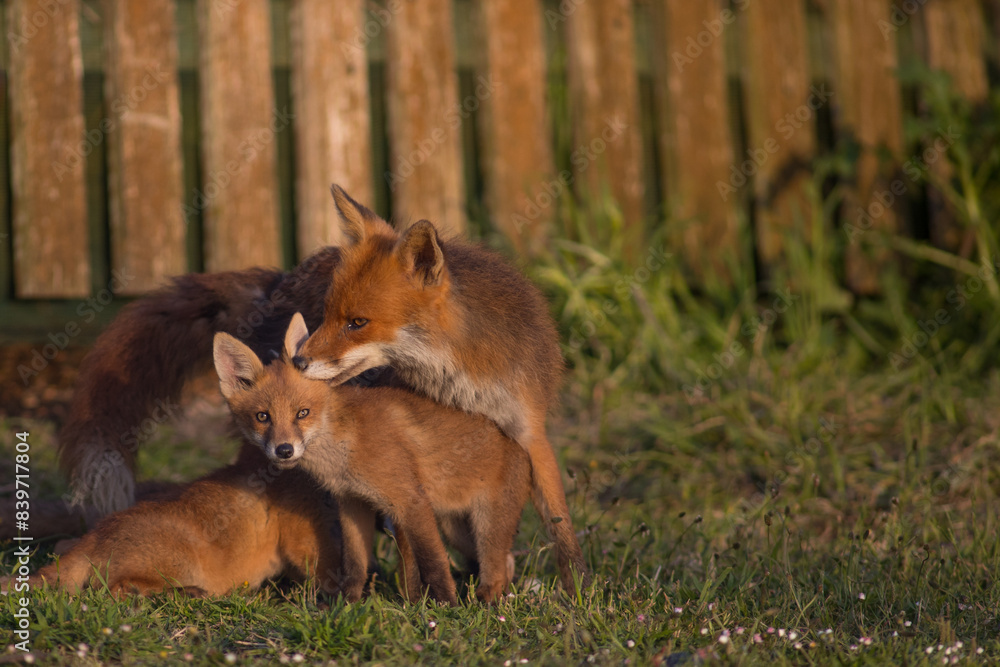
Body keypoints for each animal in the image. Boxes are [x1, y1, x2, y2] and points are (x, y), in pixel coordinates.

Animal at [10, 442, 342, 597]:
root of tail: (95, 538)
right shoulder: (306, 536)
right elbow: (326, 572)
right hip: (181, 563)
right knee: (118, 589)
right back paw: (187, 595)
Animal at [214, 313, 532, 605]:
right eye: (262, 417)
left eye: (302, 413)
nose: (284, 450)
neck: (345, 451)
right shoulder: (353, 503)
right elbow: (355, 565)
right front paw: (347, 605)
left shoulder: (411, 502)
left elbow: (434, 562)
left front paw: (445, 606)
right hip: (455, 530)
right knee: (506, 562)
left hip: (485, 525)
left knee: (496, 567)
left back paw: (487, 601)